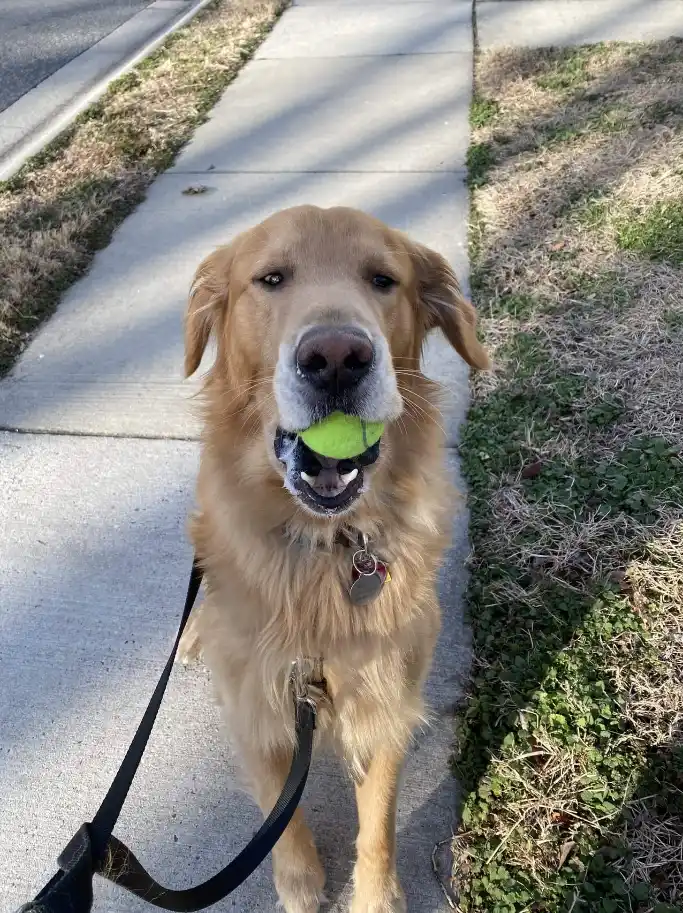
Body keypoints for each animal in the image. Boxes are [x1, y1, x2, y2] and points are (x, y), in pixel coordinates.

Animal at [180, 207, 492, 912]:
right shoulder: (256, 700)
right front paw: (299, 882)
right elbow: (280, 811)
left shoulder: (385, 696)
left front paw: (374, 896)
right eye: (270, 278)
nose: (336, 359)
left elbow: (378, 822)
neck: (324, 547)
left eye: (383, 279)